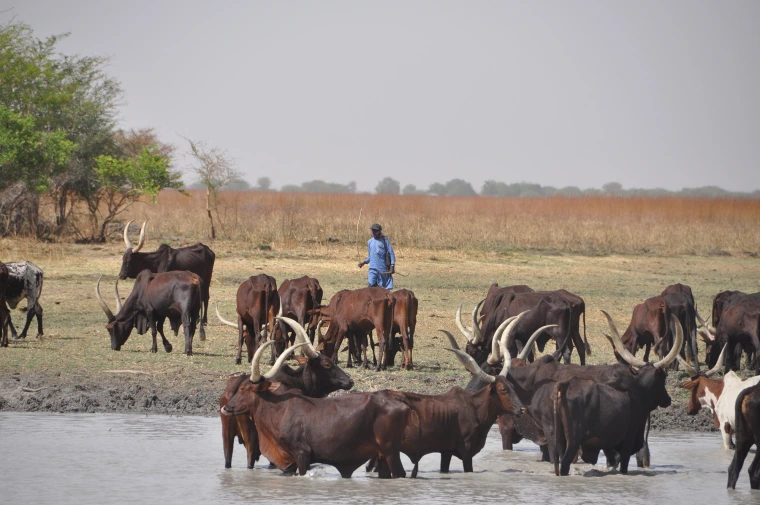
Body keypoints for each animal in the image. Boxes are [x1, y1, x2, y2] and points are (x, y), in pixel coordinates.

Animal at [221, 340, 410, 478]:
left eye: (244, 389)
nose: (226, 408)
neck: (279, 409)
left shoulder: (302, 454)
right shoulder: (289, 461)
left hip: (390, 452)